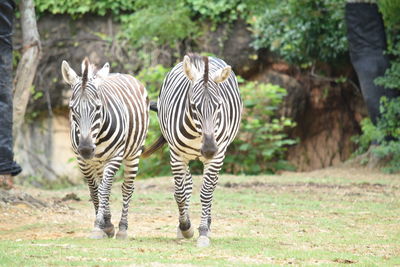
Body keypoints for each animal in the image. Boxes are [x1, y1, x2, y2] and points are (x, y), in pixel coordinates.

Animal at [61, 57, 150, 240]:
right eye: (72, 109)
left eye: (97, 107)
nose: (86, 149)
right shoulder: (82, 161)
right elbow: (95, 190)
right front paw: (104, 225)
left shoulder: (115, 156)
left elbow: (104, 190)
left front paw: (98, 226)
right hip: (98, 162)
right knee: (104, 185)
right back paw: (108, 222)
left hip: (134, 153)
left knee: (126, 188)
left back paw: (122, 228)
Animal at [144, 53, 244, 248]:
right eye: (193, 106)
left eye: (219, 105)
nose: (209, 149)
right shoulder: (176, 155)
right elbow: (180, 193)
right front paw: (185, 227)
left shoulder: (217, 156)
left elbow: (206, 193)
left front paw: (203, 231)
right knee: (187, 185)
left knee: (211, 187)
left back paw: (208, 224)